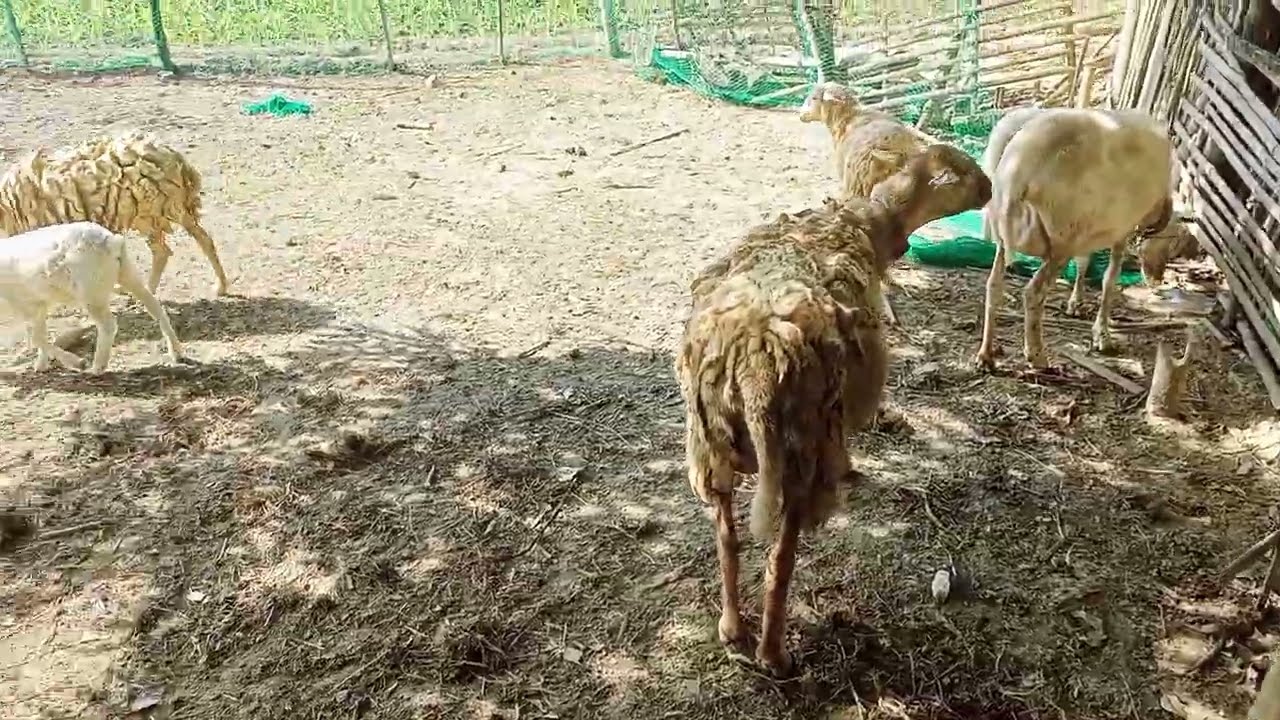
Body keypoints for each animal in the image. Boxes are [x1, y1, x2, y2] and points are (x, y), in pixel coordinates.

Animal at [0, 131, 229, 297]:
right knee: (203, 239)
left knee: (163, 251)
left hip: (150, 212)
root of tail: (176, 158)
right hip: (170, 206)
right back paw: (221, 286)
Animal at [0, 221, 183, 374]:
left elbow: (37, 338)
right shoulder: (37, 305)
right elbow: (39, 336)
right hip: (125, 273)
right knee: (154, 306)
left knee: (108, 325)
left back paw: (97, 367)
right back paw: (177, 353)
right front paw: (41, 366)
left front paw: (77, 363)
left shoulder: (28, 305)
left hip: (92, 292)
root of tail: (112, 241)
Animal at [676, 143, 991, 675]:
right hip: (802, 448)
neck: (868, 217)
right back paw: (774, 654)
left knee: (728, 541)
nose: (991, 190)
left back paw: (732, 629)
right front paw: (851, 467)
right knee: (780, 560)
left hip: (710, 447)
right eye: (965, 172)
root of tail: (755, 364)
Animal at [975, 107, 1175, 370]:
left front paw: (1076, 304)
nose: (1156, 280)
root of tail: (1018, 170)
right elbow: (1109, 279)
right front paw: (1103, 335)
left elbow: (1083, 263)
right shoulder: (1121, 230)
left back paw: (986, 354)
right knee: (1033, 293)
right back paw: (1037, 356)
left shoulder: (1088, 231)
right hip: (1062, 241)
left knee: (994, 286)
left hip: (1006, 232)